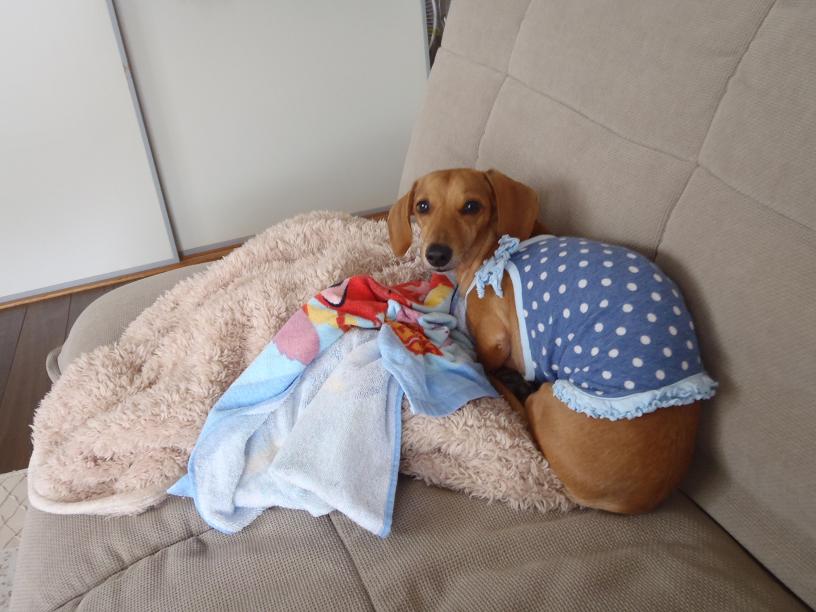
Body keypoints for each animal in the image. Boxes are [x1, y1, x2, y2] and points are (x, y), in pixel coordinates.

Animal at [387, 168, 716, 514]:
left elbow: (484, 360)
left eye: (472, 206)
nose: (436, 254)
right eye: (423, 206)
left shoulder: (492, 341)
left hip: (546, 398)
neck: (492, 251)